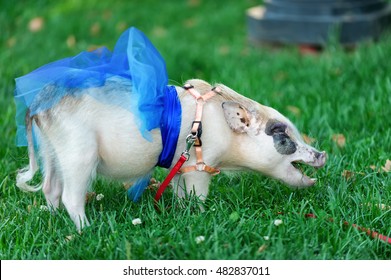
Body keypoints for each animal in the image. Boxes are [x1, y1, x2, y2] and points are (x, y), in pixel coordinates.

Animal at [16, 77, 328, 230]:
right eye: (282, 136)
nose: (322, 154)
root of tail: (37, 105)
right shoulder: (202, 164)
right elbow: (198, 194)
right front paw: (202, 215)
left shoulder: (182, 165)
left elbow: (179, 192)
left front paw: (181, 212)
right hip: (78, 152)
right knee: (70, 195)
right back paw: (87, 229)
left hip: (51, 149)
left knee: (50, 187)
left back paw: (55, 219)